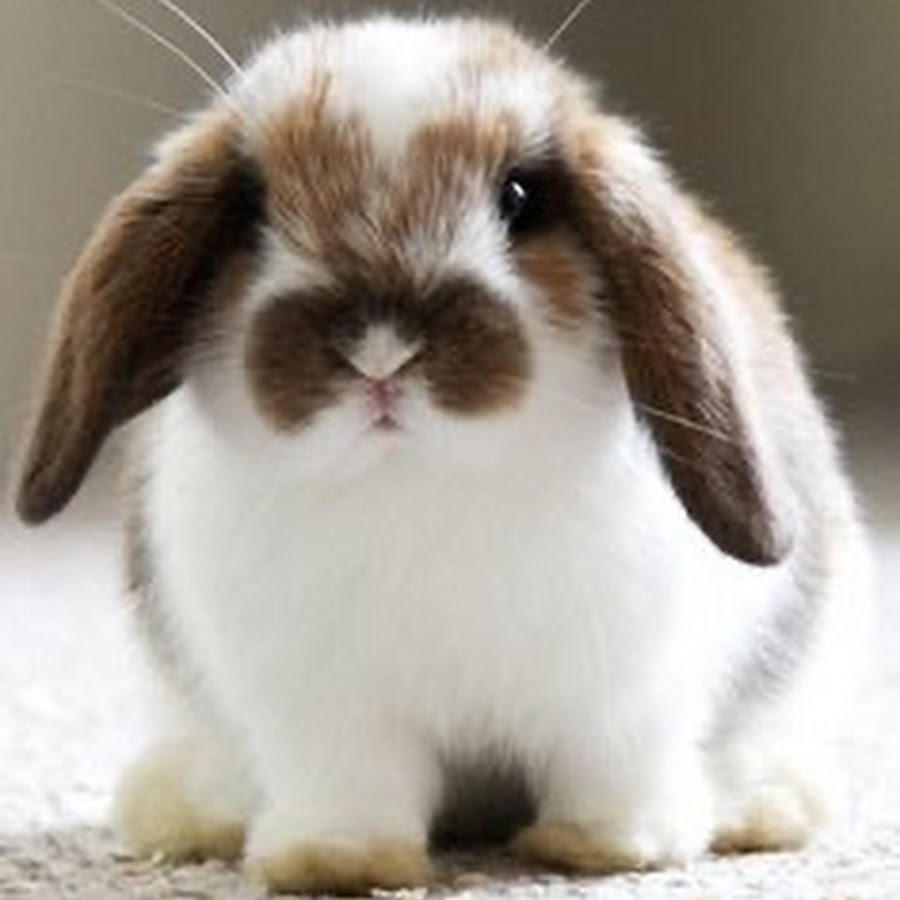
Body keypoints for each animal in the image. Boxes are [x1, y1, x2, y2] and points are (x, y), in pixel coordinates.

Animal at [15, 14, 871, 896]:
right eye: (249, 209)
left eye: (521, 198)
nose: (381, 353)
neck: (419, 481)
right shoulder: (323, 711)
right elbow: (351, 787)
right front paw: (335, 862)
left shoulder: (627, 698)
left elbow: (611, 770)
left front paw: (608, 847)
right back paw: (180, 811)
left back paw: (767, 805)